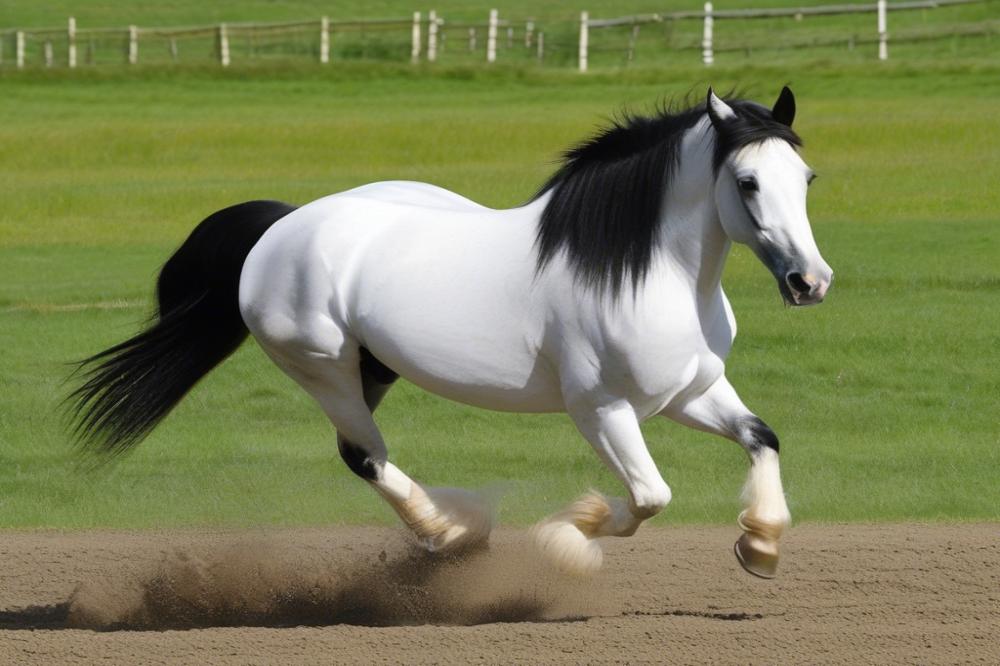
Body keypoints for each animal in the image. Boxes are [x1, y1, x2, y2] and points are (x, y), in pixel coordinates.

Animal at [70, 87, 832, 576]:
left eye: (806, 176)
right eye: (747, 181)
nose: (810, 282)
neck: (647, 274)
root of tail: (281, 227)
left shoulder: (688, 393)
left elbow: (762, 437)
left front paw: (761, 546)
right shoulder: (602, 410)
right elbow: (650, 497)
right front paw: (567, 537)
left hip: (374, 367)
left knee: (361, 453)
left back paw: (452, 528)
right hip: (325, 369)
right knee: (364, 456)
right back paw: (452, 530)